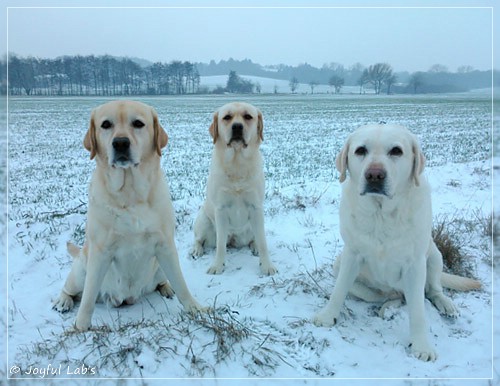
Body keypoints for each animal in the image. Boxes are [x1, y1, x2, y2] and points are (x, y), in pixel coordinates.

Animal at [53, 100, 204, 332]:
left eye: (138, 123)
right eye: (106, 124)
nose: (121, 143)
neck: (131, 194)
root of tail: (124, 299)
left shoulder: (165, 246)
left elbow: (181, 283)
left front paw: (194, 308)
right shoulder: (100, 252)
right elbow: (87, 297)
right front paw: (81, 326)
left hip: (159, 266)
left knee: (163, 280)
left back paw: (165, 288)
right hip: (81, 269)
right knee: (73, 289)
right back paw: (63, 301)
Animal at [191, 101, 278, 276]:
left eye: (248, 116)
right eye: (227, 117)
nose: (237, 127)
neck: (237, 164)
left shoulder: (256, 208)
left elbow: (263, 242)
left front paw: (266, 265)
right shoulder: (221, 209)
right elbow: (220, 245)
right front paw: (218, 265)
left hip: (252, 226)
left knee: (254, 238)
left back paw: (254, 246)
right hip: (203, 220)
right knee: (199, 240)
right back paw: (197, 250)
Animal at [314, 124, 482, 362]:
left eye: (396, 151)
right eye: (360, 150)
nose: (374, 175)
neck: (381, 212)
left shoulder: (415, 265)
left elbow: (418, 311)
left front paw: (421, 346)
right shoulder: (351, 255)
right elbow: (338, 290)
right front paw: (328, 316)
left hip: (434, 255)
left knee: (433, 290)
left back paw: (445, 304)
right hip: (341, 268)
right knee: (394, 296)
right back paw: (389, 307)